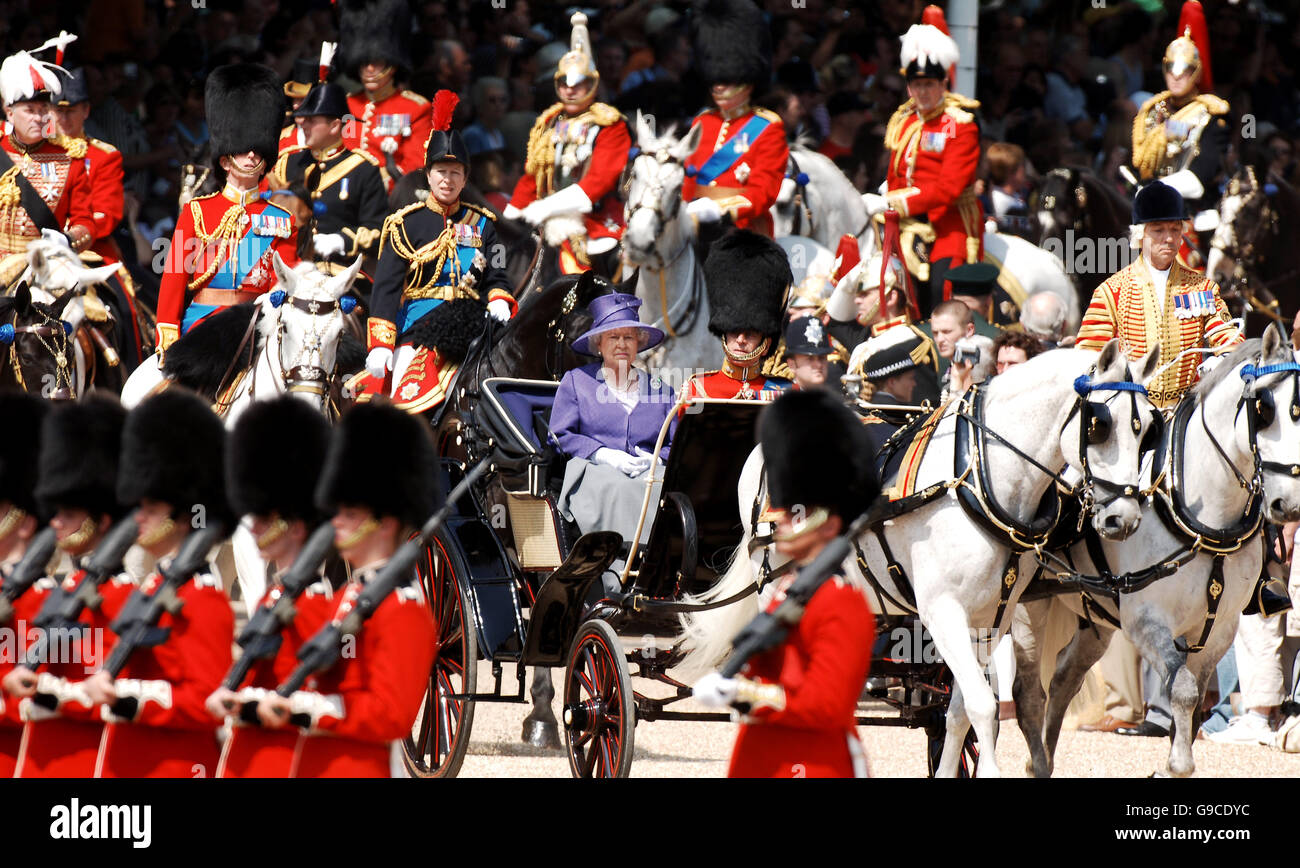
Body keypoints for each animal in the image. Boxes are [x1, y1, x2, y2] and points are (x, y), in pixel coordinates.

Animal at [676, 337, 1164, 774]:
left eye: (1146, 429)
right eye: (1099, 426)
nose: (1123, 518)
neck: (977, 474)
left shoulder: (991, 618)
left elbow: (961, 709)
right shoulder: (941, 610)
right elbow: (984, 706)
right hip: (775, 583)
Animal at [1013, 332, 1300, 779]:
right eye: (1264, 410)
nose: (1288, 504)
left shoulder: (1219, 628)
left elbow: (1193, 702)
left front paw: (1171, 762)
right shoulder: (1147, 621)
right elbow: (1181, 690)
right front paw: (1176, 765)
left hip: (1098, 619)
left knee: (1063, 678)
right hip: (1030, 609)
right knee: (1027, 690)